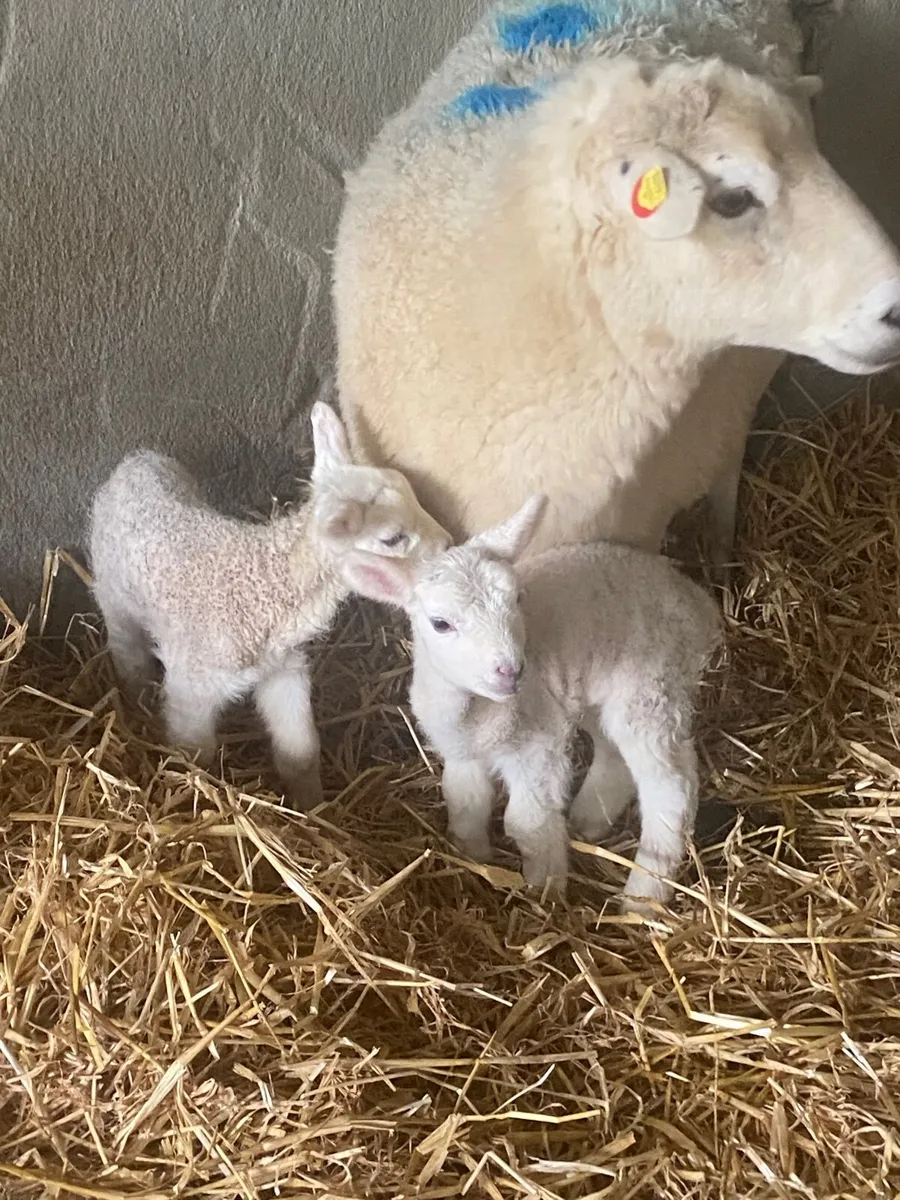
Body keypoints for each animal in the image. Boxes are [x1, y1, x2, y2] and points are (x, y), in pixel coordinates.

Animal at [88, 402, 450, 810]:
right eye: (392, 538)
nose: (447, 542)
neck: (266, 585)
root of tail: (137, 460)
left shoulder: (283, 669)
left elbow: (300, 751)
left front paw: (310, 806)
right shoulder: (192, 684)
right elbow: (195, 754)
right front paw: (197, 792)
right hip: (113, 591)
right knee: (128, 652)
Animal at [342, 494, 722, 912]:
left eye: (517, 598)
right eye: (440, 623)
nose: (510, 670)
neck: (478, 715)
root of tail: (698, 602)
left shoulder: (539, 745)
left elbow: (527, 821)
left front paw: (545, 891)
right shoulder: (462, 753)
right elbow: (464, 802)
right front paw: (474, 857)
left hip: (650, 686)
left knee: (670, 789)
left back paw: (642, 899)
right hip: (604, 691)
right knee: (615, 754)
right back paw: (588, 820)